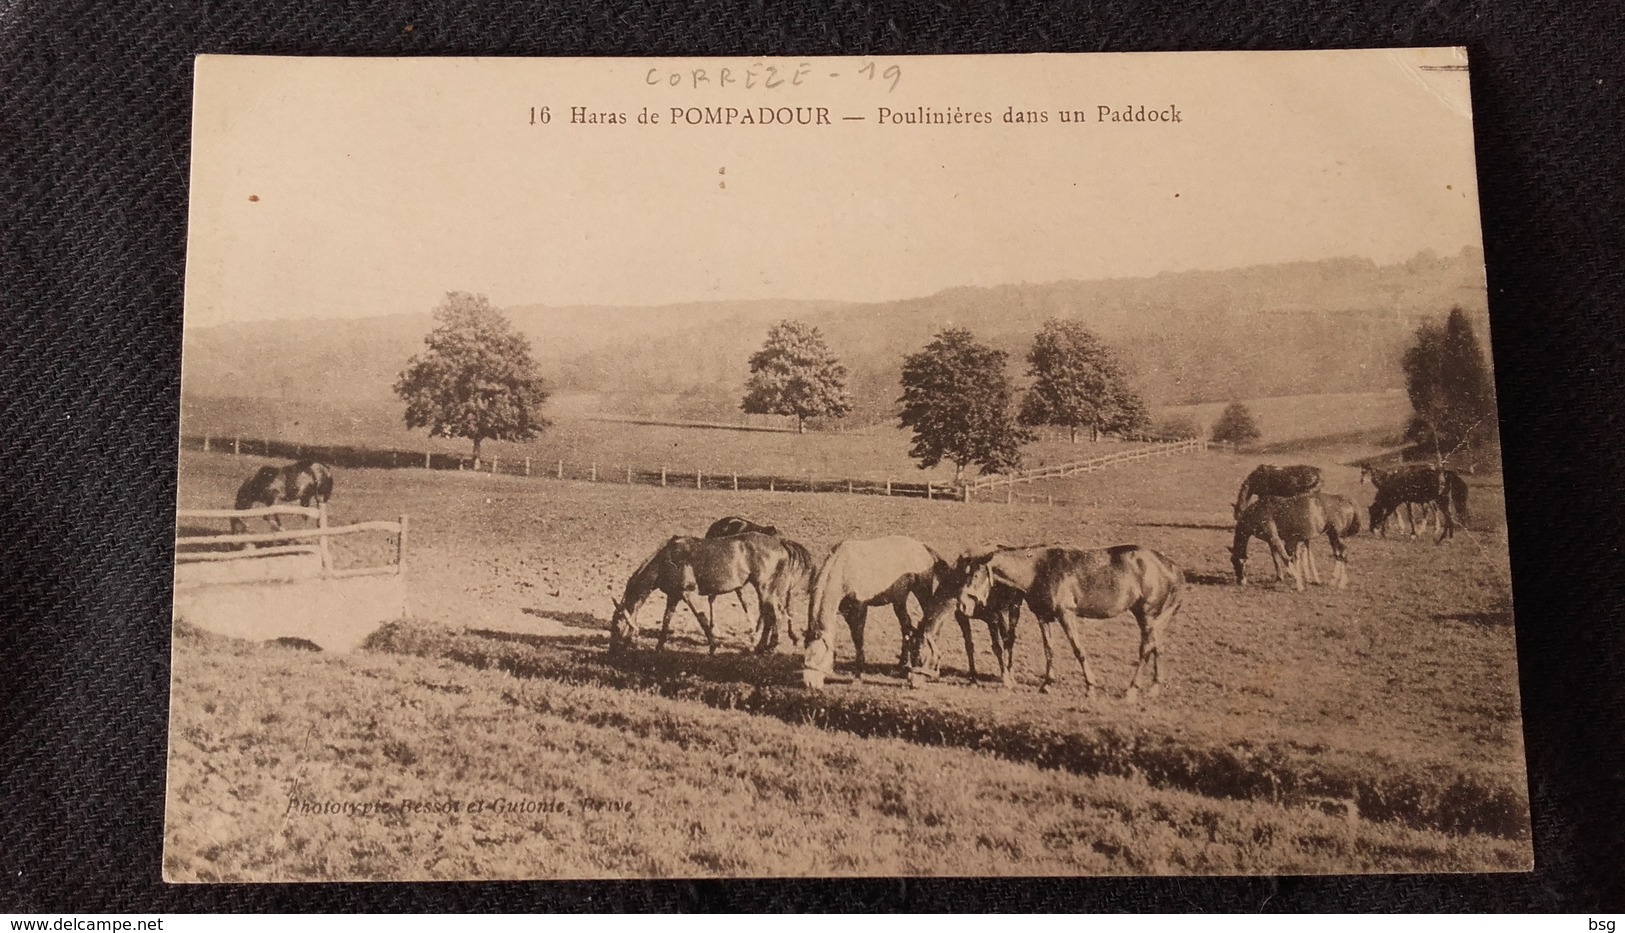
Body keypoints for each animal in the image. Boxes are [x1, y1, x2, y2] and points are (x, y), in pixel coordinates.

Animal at [607, 533, 802, 656]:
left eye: (616, 626)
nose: (611, 651)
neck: (666, 560)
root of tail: (780, 543)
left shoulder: (688, 594)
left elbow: (702, 619)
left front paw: (713, 647)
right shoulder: (673, 596)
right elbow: (666, 620)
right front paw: (659, 648)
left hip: (764, 588)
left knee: (772, 615)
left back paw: (766, 647)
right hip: (770, 591)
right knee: (775, 614)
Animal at [799, 539, 949, 689]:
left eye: (818, 655)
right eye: (805, 651)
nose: (810, 684)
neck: (844, 568)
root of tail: (922, 546)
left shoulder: (860, 609)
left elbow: (858, 641)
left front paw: (858, 677)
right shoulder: (846, 611)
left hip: (922, 591)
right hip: (899, 599)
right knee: (906, 626)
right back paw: (902, 665)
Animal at [949, 549, 1183, 702]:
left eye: (976, 575)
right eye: (963, 574)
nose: (962, 605)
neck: (1038, 570)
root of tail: (1170, 565)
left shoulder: (1066, 614)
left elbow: (1078, 649)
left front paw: (1090, 687)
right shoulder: (1043, 617)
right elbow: (1049, 649)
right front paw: (1047, 684)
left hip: (1147, 614)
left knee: (1146, 648)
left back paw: (1132, 690)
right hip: (1152, 617)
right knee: (1158, 646)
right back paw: (1154, 688)